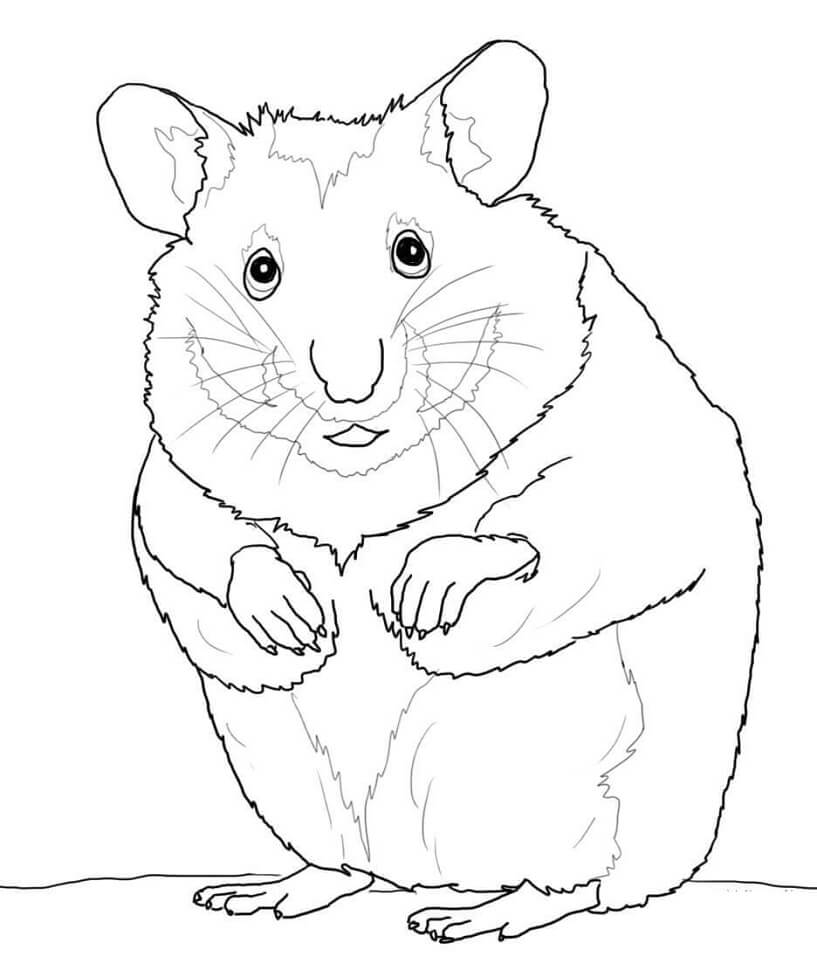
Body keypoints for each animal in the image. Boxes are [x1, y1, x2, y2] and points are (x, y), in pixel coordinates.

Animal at [98, 40, 761, 941]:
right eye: (260, 270)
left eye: (412, 251)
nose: (348, 391)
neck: (357, 482)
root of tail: (414, 871)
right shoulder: (176, 461)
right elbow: (194, 530)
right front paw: (296, 618)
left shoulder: (635, 434)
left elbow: (571, 511)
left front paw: (414, 594)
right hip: (289, 778)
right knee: (343, 864)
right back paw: (265, 892)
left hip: (572, 789)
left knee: (574, 883)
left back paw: (474, 915)